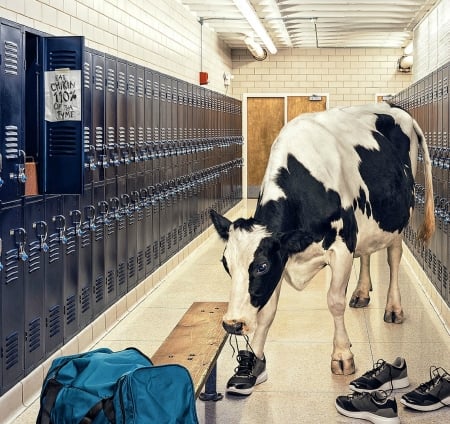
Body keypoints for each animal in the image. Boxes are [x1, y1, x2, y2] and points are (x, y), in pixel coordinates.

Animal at [211, 102, 436, 394]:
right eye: (225, 264)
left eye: (261, 266)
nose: (232, 324)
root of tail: (392, 106)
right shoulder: (284, 255)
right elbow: (268, 312)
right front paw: (253, 363)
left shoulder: (340, 248)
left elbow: (334, 302)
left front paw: (342, 354)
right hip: (366, 224)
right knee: (366, 253)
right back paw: (361, 293)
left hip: (397, 218)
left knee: (394, 258)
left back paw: (394, 308)